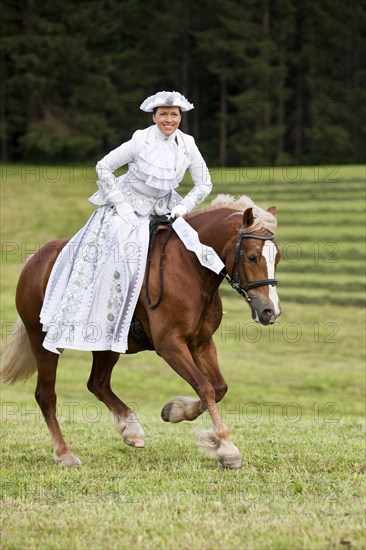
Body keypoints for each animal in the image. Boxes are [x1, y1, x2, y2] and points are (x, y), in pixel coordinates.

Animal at [0, 195, 282, 470]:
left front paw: (175, 411)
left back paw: (131, 430)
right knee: (46, 395)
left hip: (107, 345)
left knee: (97, 383)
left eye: (277, 257)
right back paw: (64, 454)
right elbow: (205, 387)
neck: (190, 268)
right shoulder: (171, 346)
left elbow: (219, 387)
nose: (270, 311)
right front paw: (226, 448)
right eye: (252, 257)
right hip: (42, 343)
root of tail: (34, 260)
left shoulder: (201, 342)